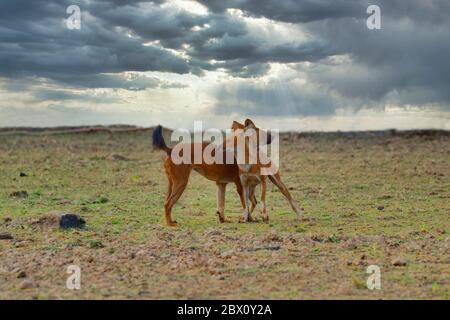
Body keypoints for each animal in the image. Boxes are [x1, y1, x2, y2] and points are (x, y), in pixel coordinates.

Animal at [153, 119, 304, 226]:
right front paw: (245, 218)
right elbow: (240, 204)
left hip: (172, 184)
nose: (272, 135)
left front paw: (228, 219)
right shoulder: (239, 185)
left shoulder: (222, 184)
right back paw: (170, 224)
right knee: (167, 204)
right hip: (181, 183)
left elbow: (222, 205)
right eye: (260, 131)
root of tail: (171, 149)